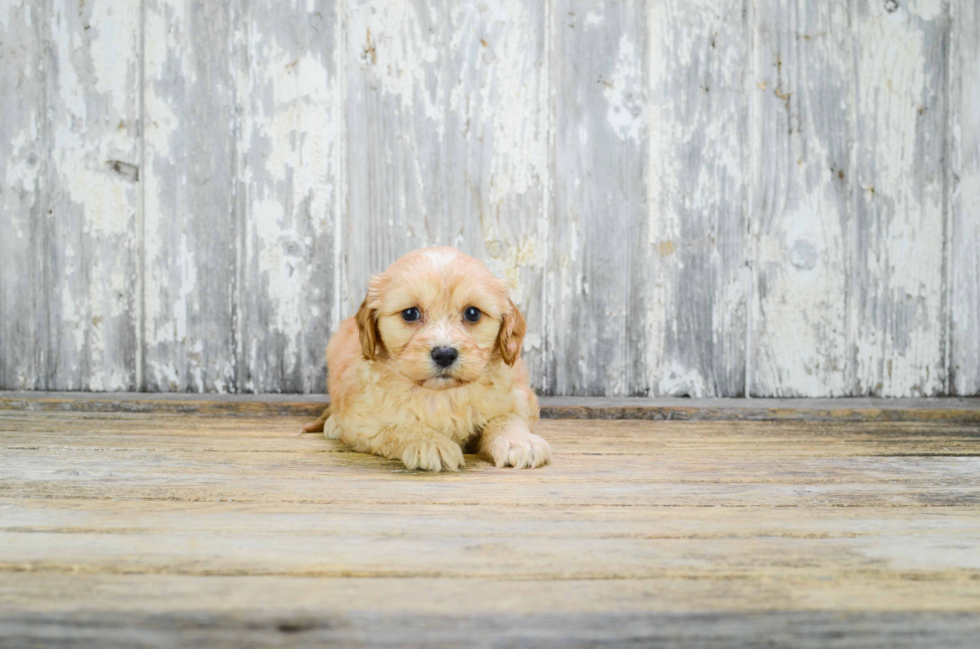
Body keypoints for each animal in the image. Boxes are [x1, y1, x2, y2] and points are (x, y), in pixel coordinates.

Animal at [302, 247, 552, 470]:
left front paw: (518, 441)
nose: (445, 354)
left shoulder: (518, 398)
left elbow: (506, 418)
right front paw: (430, 443)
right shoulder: (363, 419)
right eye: (410, 313)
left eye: (473, 313)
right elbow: (398, 426)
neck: (442, 395)